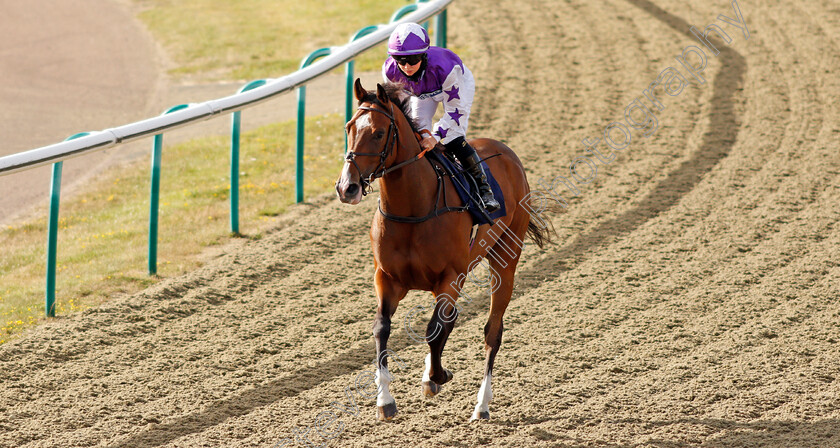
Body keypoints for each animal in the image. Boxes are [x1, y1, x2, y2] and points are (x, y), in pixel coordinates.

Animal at [334, 79, 552, 420]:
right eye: (349, 127)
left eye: (379, 133)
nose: (347, 187)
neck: (413, 207)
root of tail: (507, 152)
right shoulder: (387, 278)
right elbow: (383, 328)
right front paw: (385, 400)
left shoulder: (450, 277)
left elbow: (435, 329)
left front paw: (436, 376)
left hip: (505, 257)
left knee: (492, 331)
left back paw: (481, 405)